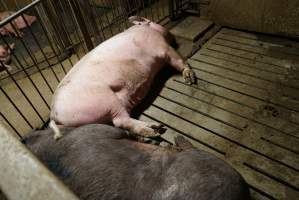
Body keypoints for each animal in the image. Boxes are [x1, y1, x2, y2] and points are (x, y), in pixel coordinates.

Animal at [49, 16, 197, 139]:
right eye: (150, 20)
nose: (172, 35)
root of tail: (53, 114)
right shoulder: (163, 47)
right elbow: (178, 59)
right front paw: (190, 79)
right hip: (107, 102)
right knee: (121, 121)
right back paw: (157, 129)